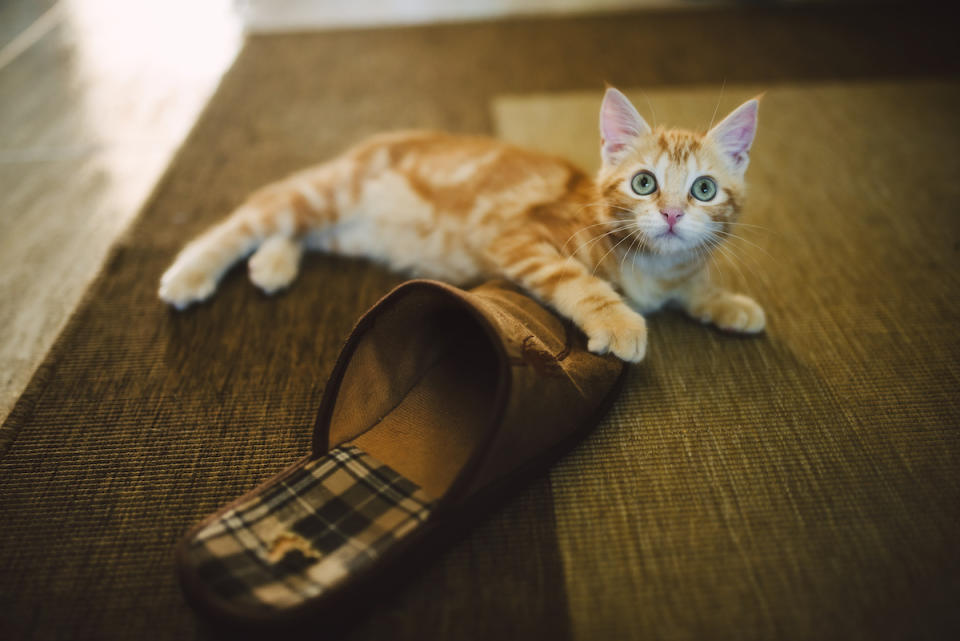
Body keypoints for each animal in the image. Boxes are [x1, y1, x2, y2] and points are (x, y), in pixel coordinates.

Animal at [161, 87, 768, 362]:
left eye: (704, 190)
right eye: (644, 183)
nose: (671, 214)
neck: (652, 266)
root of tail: (371, 142)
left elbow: (691, 285)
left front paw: (730, 303)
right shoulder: (518, 238)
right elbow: (578, 281)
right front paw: (618, 320)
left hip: (341, 227)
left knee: (293, 229)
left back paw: (272, 264)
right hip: (328, 194)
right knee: (252, 213)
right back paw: (190, 273)